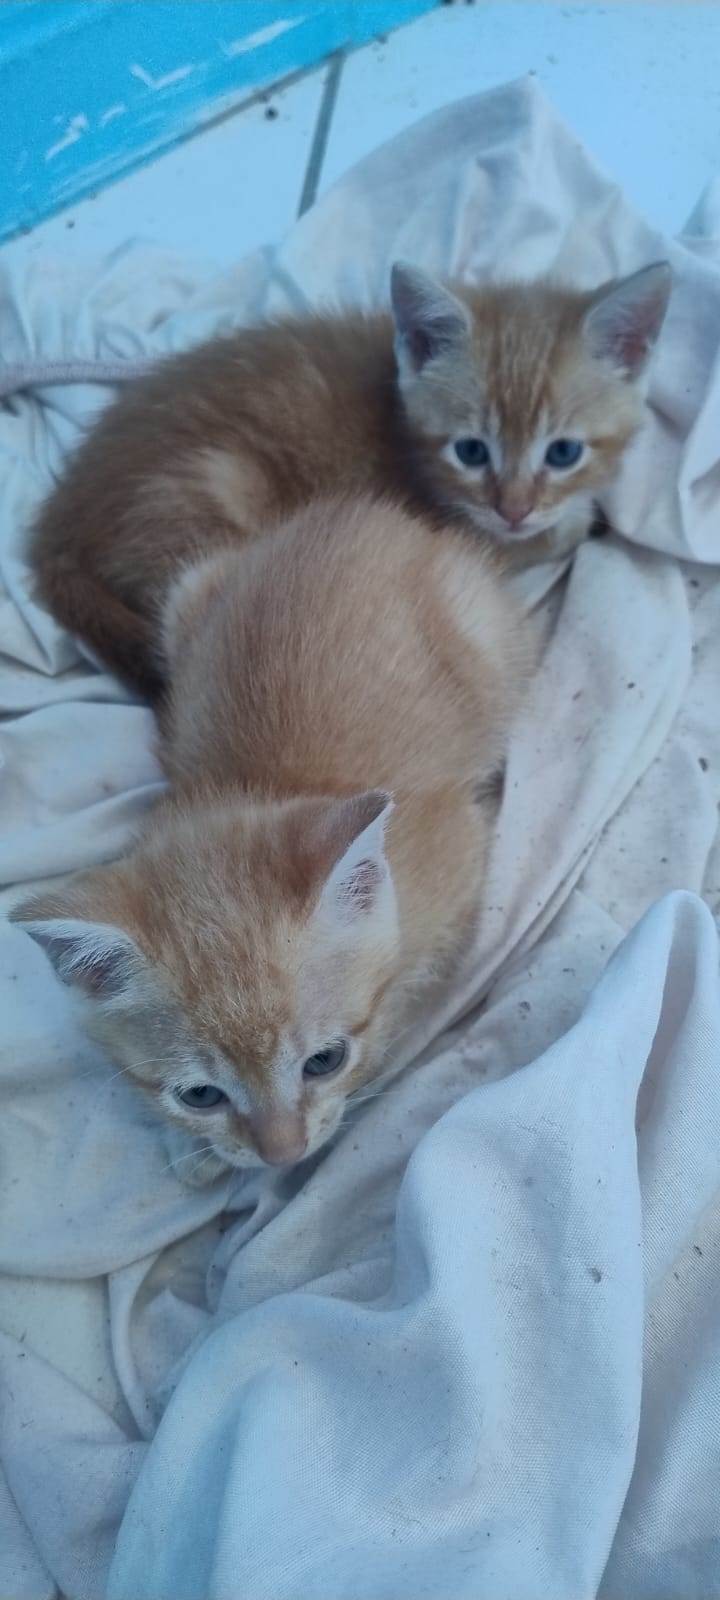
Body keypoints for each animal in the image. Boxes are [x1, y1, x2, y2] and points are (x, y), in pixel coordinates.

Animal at [13, 494, 529, 1181]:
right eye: (200, 1095)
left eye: (325, 1061)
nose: (282, 1155)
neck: (255, 786)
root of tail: (351, 512)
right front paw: (194, 1150)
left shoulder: (460, 853)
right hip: (189, 594)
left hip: (484, 634)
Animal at [29, 259, 670, 699]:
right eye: (470, 451)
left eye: (562, 452)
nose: (513, 509)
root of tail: (57, 528)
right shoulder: (469, 532)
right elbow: (546, 536)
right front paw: (579, 522)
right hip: (214, 492)